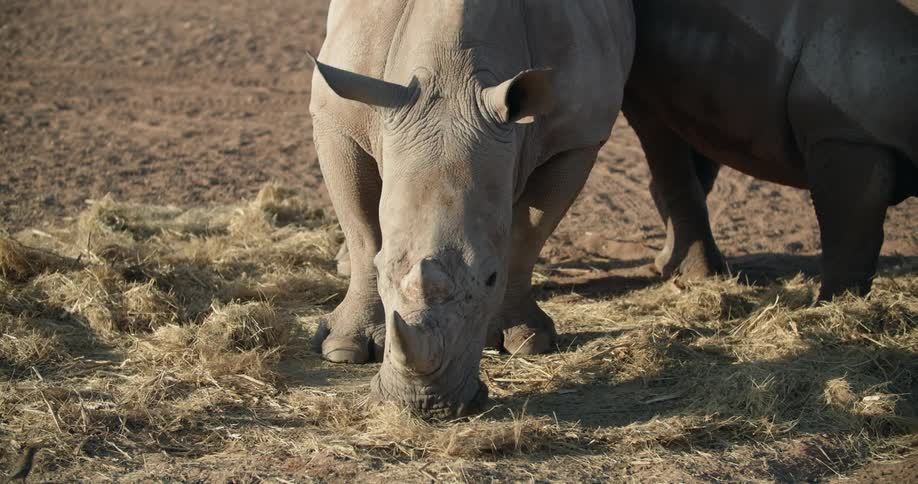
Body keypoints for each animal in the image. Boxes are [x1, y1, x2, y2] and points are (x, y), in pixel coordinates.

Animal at [309, 0, 635, 417]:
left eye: (491, 278)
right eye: (383, 273)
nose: (424, 405)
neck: (454, 76)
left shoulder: (576, 137)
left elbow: (527, 237)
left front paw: (526, 341)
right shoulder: (337, 116)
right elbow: (363, 232)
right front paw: (343, 350)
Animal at [624, 0, 918, 299]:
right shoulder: (845, 133)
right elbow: (851, 231)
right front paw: (835, 302)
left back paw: (678, 268)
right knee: (658, 129)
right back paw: (700, 276)